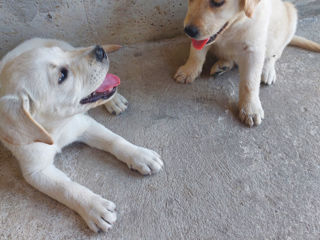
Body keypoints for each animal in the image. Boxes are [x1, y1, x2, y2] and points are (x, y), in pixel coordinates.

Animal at [0, 39, 164, 232]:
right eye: (62, 76)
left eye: (59, 52)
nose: (99, 51)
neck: (56, 128)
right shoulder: (36, 170)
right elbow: (65, 187)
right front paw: (95, 208)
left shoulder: (84, 124)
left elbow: (114, 140)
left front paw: (140, 155)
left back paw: (114, 101)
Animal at [175, 0, 320, 126]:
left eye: (217, 2)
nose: (188, 31)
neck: (233, 26)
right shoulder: (205, 39)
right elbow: (196, 54)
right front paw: (188, 70)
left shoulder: (253, 50)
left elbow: (249, 83)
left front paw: (250, 109)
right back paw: (223, 65)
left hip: (289, 20)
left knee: (274, 55)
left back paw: (268, 71)